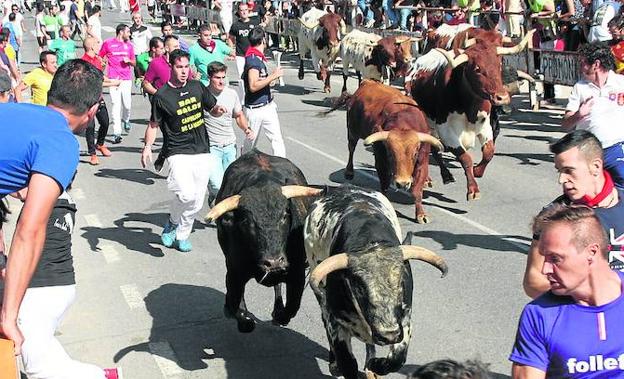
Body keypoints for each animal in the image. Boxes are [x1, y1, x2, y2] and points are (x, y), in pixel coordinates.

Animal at [205, 150, 322, 334]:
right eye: (247, 221)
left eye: (284, 215)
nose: (273, 262)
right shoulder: (234, 271)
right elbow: (235, 303)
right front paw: (242, 318)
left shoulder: (297, 274)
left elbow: (292, 306)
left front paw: (280, 315)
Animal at [304, 188, 446, 379]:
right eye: (359, 287)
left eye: (401, 282)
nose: (388, 335)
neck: (370, 244)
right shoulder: (336, 322)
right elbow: (347, 363)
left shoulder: (405, 321)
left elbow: (397, 359)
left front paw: (376, 364)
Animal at [324, 80, 442, 223]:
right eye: (390, 153)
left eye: (415, 154)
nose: (402, 183)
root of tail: (366, 82)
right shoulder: (381, 159)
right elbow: (385, 183)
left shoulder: (422, 162)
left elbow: (416, 190)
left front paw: (421, 214)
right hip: (352, 130)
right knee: (351, 148)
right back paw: (349, 172)